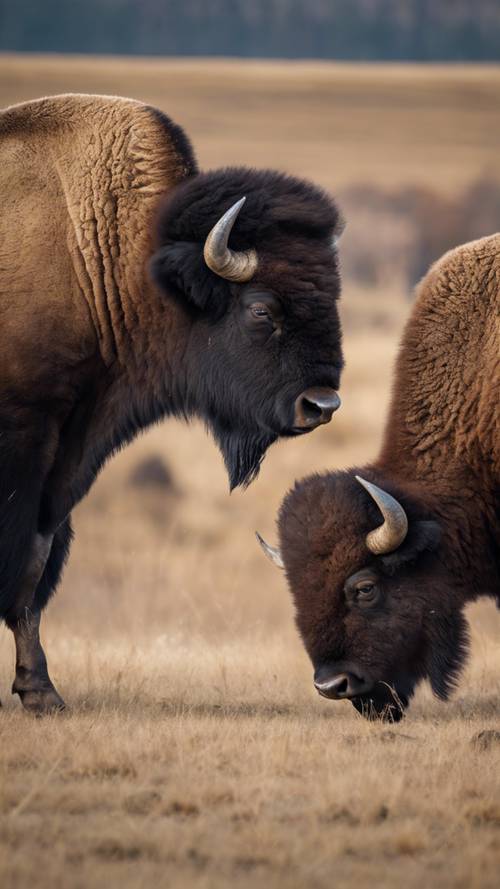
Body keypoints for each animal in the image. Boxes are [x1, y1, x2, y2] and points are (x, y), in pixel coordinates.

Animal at [0, 93, 344, 712]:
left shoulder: (69, 453)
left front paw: (40, 690)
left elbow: (37, 562)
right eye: (261, 309)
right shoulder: (26, 435)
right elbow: (19, 560)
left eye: (332, 295)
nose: (322, 403)